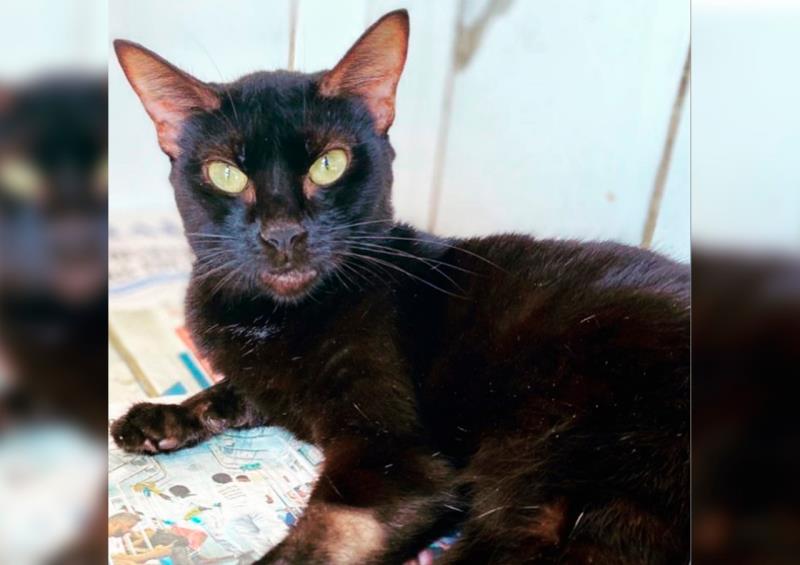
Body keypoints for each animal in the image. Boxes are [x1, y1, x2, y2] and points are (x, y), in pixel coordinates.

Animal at [111, 10, 689, 564]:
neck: (273, 318)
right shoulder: (273, 383)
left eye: (330, 164)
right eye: (226, 174)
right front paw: (160, 416)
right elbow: (236, 389)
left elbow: (315, 542)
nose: (283, 233)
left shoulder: (391, 458)